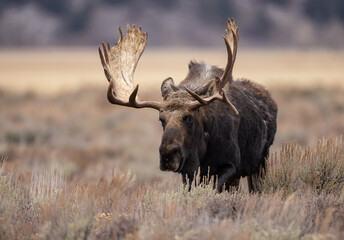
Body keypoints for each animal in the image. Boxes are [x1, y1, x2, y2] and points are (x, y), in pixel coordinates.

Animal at [98, 18, 278, 191]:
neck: (202, 149)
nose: (168, 156)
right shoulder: (188, 172)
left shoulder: (230, 165)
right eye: (161, 119)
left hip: (261, 161)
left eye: (189, 118)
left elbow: (213, 190)